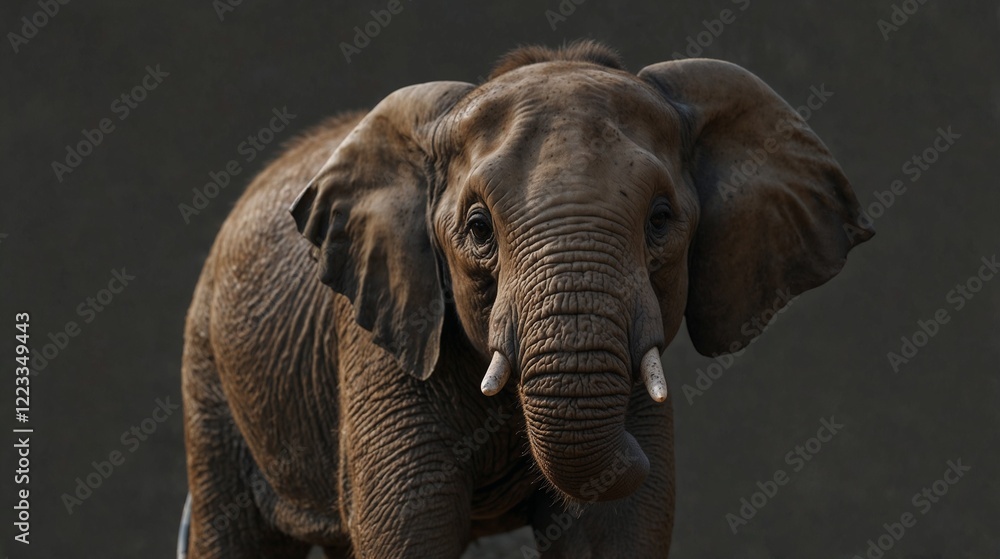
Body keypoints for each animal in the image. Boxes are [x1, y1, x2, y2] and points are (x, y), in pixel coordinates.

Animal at [180, 41, 873, 558]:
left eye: (660, 219)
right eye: (478, 228)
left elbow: (614, 526)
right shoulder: (385, 333)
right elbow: (409, 523)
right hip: (208, 367)